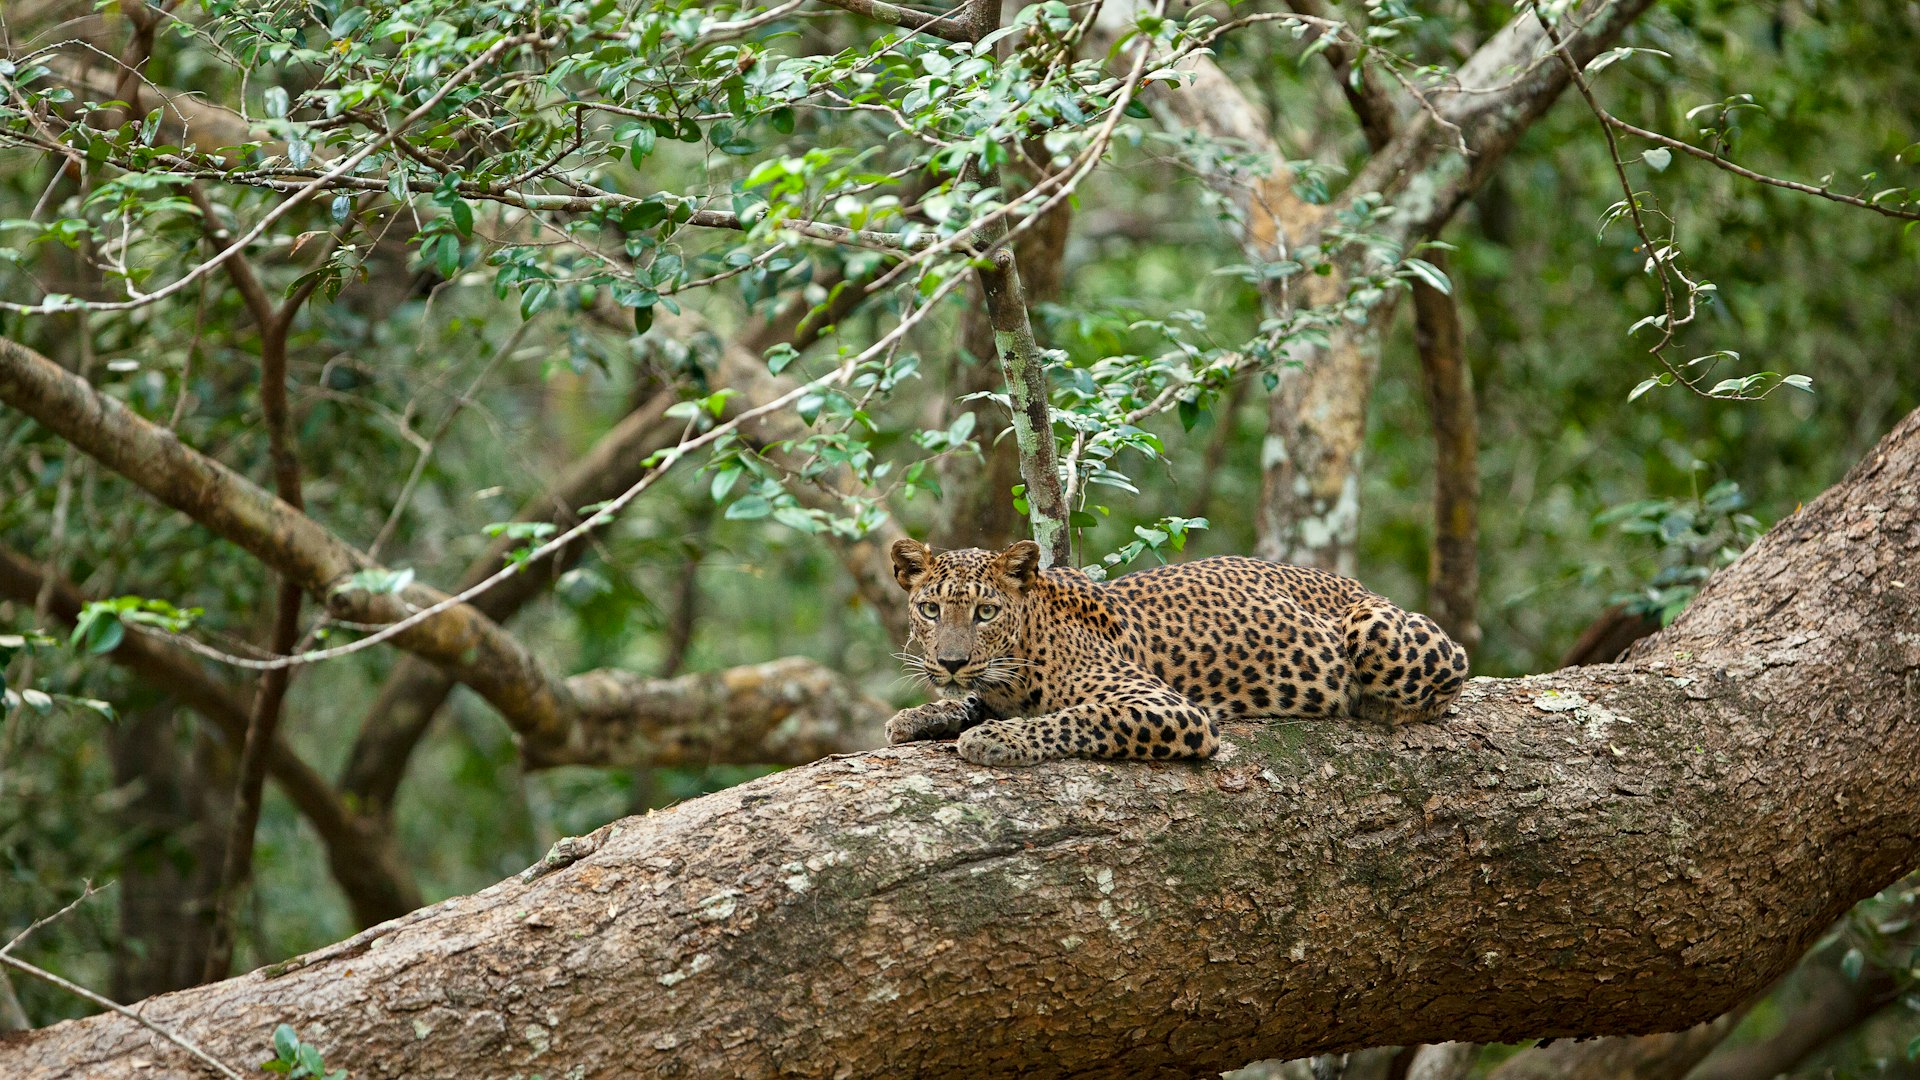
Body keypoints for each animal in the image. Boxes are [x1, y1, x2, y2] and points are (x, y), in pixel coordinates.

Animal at [885, 538, 1470, 767]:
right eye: (931, 609)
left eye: (985, 613)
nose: (951, 662)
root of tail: (1356, 584)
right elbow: (966, 701)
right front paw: (918, 717)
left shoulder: (1168, 708)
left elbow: (1077, 717)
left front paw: (996, 739)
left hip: (1378, 632)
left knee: (1452, 675)